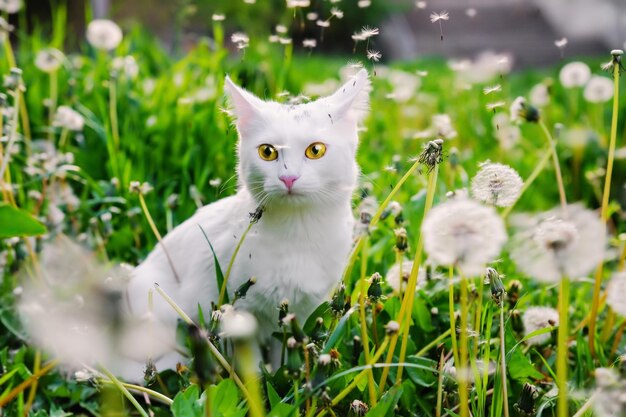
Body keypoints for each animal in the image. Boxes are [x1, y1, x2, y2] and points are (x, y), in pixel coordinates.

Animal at [127, 67, 370, 374]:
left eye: (315, 150)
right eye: (268, 151)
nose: (288, 177)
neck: (296, 230)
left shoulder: (299, 314)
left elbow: (283, 359)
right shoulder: (239, 311)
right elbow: (251, 366)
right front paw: (255, 384)